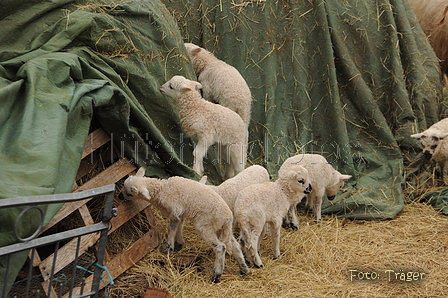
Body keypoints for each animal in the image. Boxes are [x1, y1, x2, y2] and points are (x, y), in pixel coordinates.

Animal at [121, 168, 250, 282]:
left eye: (130, 193)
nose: (119, 196)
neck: (162, 189)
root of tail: (228, 217)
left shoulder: (175, 210)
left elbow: (172, 229)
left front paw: (168, 248)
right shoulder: (181, 212)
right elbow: (180, 226)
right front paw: (179, 244)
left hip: (205, 226)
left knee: (220, 247)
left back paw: (216, 275)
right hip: (222, 229)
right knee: (235, 246)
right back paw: (244, 270)